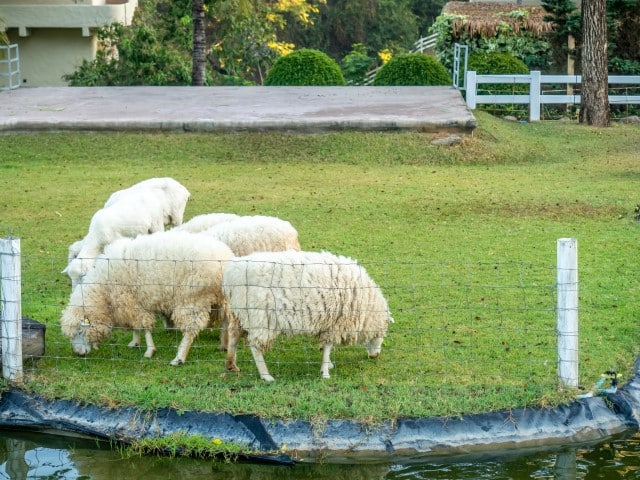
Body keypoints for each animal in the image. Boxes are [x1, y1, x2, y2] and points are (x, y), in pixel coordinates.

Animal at [59, 231, 235, 366]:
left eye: (80, 330)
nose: (79, 354)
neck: (103, 291)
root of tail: (224, 258)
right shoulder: (131, 304)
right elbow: (137, 327)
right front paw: (135, 342)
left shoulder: (134, 302)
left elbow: (145, 328)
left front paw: (149, 350)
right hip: (222, 298)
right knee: (226, 320)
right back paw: (223, 345)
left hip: (192, 299)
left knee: (191, 330)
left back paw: (179, 357)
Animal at [222, 251, 392, 382]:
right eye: (381, 334)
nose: (376, 355)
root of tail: (231, 274)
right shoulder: (334, 324)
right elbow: (328, 347)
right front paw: (325, 372)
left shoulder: (328, 323)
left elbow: (326, 347)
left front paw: (327, 365)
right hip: (260, 317)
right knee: (255, 346)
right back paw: (266, 375)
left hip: (240, 313)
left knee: (234, 335)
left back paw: (231, 364)